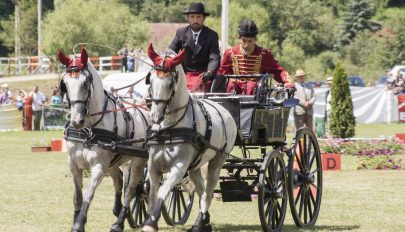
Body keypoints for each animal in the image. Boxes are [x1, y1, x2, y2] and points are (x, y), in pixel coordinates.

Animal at [57, 47, 149, 232]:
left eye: (85, 83)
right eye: (65, 85)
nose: (77, 121)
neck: (88, 129)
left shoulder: (99, 166)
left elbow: (88, 195)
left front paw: (79, 224)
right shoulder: (73, 164)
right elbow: (77, 197)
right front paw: (77, 223)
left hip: (137, 160)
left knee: (131, 189)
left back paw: (119, 222)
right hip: (114, 161)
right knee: (120, 182)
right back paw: (121, 213)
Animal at [141, 44, 237, 232]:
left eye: (171, 83)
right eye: (150, 80)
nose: (155, 116)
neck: (169, 128)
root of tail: (224, 110)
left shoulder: (179, 167)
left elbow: (163, 191)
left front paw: (150, 223)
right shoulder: (154, 165)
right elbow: (152, 192)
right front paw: (149, 219)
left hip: (217, 161)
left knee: (208, 192)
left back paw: (200, 222)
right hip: (194, 166)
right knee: (201, 189)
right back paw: (204, 219)